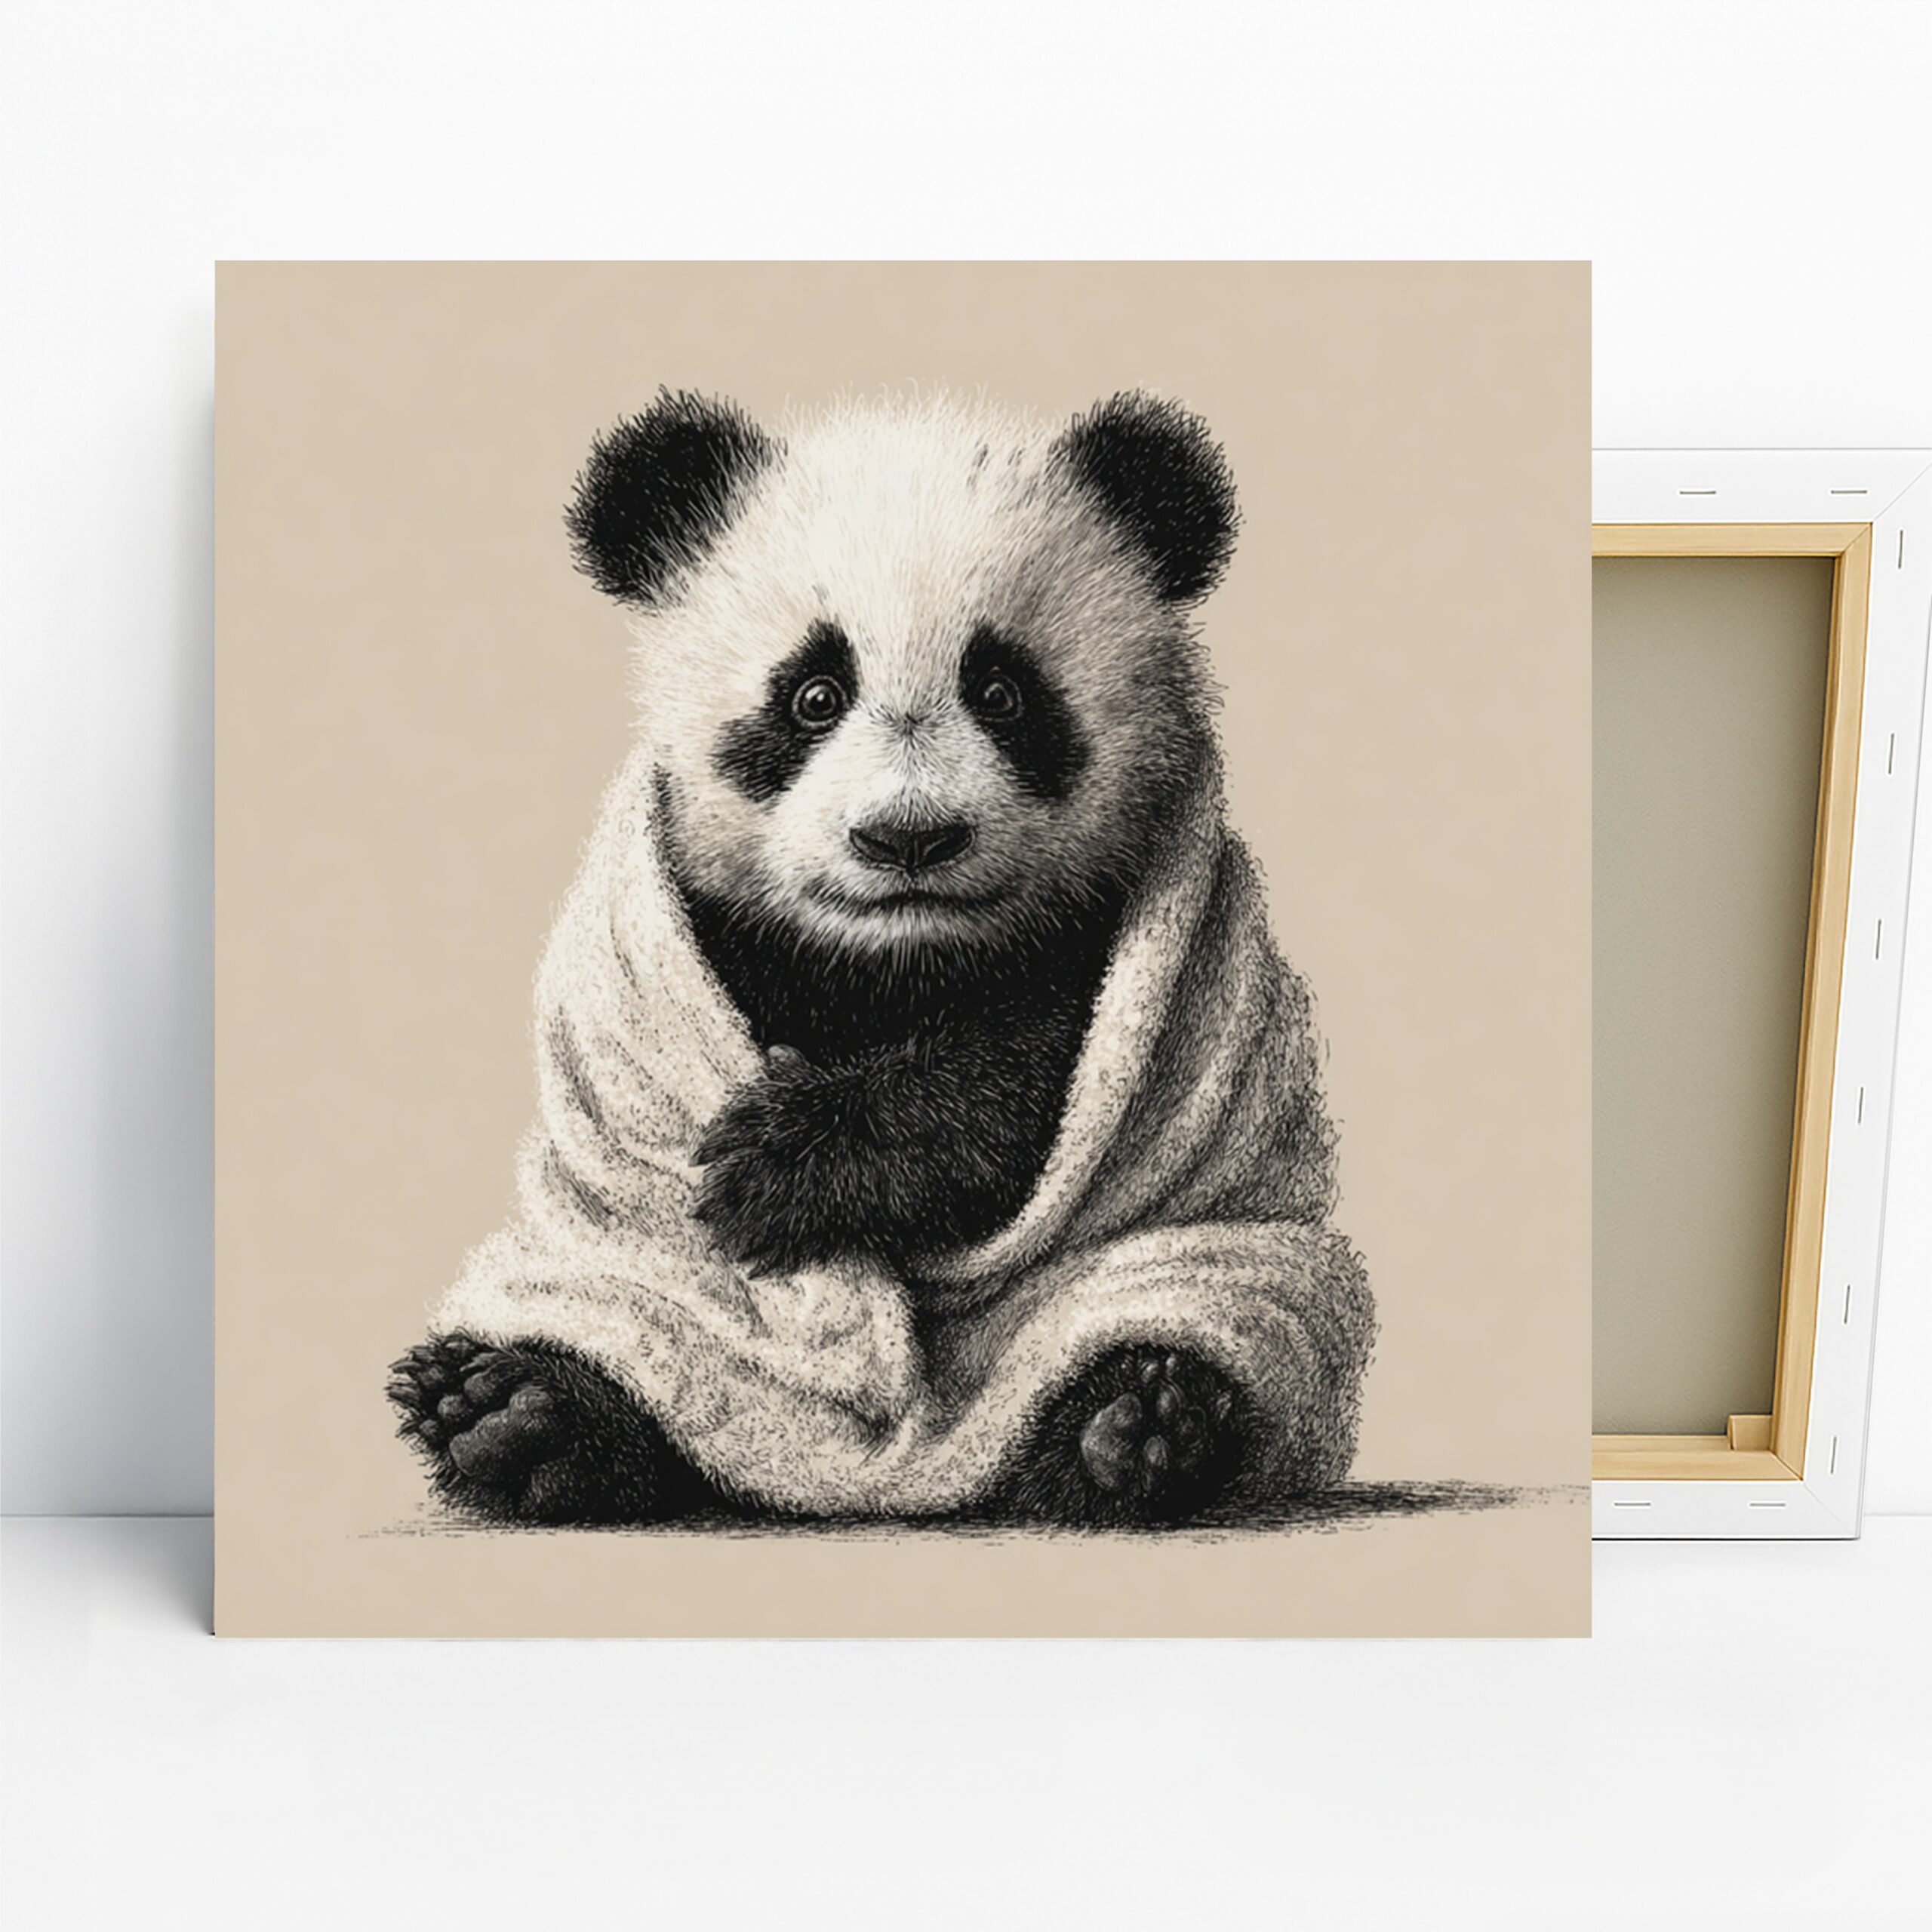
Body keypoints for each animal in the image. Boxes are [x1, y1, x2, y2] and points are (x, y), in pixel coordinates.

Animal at [388, 386, 1359, 1528]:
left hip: (1210, 1263)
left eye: (1003, 690)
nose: (909, 839)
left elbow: (1029, 1077)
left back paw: (1137, 1429)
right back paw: (509, 1414)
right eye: (813, 693)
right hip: (617, 1269)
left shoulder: (1117, 952)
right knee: (609, 1316)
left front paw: (781, 1159)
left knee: (1180, 1312)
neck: (892, 963)